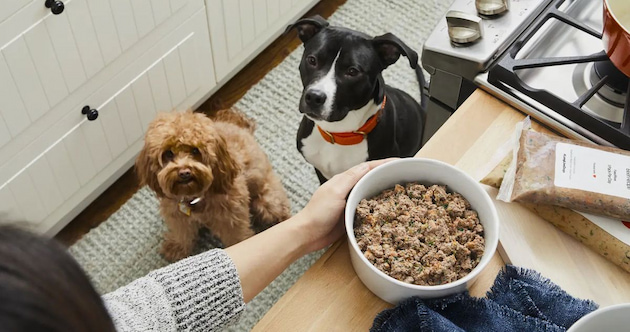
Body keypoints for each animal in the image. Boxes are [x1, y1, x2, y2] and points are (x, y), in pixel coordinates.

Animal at [137, 110, 292, 260]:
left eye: (195, 150)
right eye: (168, 153)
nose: (184, 172)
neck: (195, 197)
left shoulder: (231, 218)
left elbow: (236, 237)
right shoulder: (177, 214)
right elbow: (182, 232)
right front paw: (176, 247)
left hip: (268, 203)